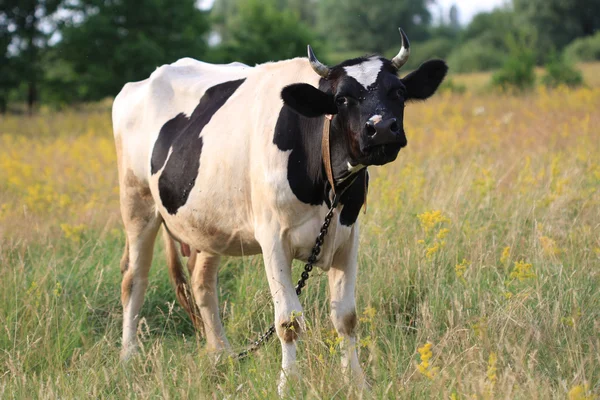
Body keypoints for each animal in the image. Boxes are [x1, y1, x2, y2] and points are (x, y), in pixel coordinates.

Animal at [112, 28, 446, 394]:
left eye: (398, 91)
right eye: (342, 99)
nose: (382, 127)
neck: (324, 184)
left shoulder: (348, 236)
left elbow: (346, 317)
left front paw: (358, 384)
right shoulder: (272, 239)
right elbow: (288, 321)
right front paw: (288, 386)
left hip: (210, 223)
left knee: (202, 283)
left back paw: (221, 355)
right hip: (137, 204)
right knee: (134, 279)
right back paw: (128, 357)